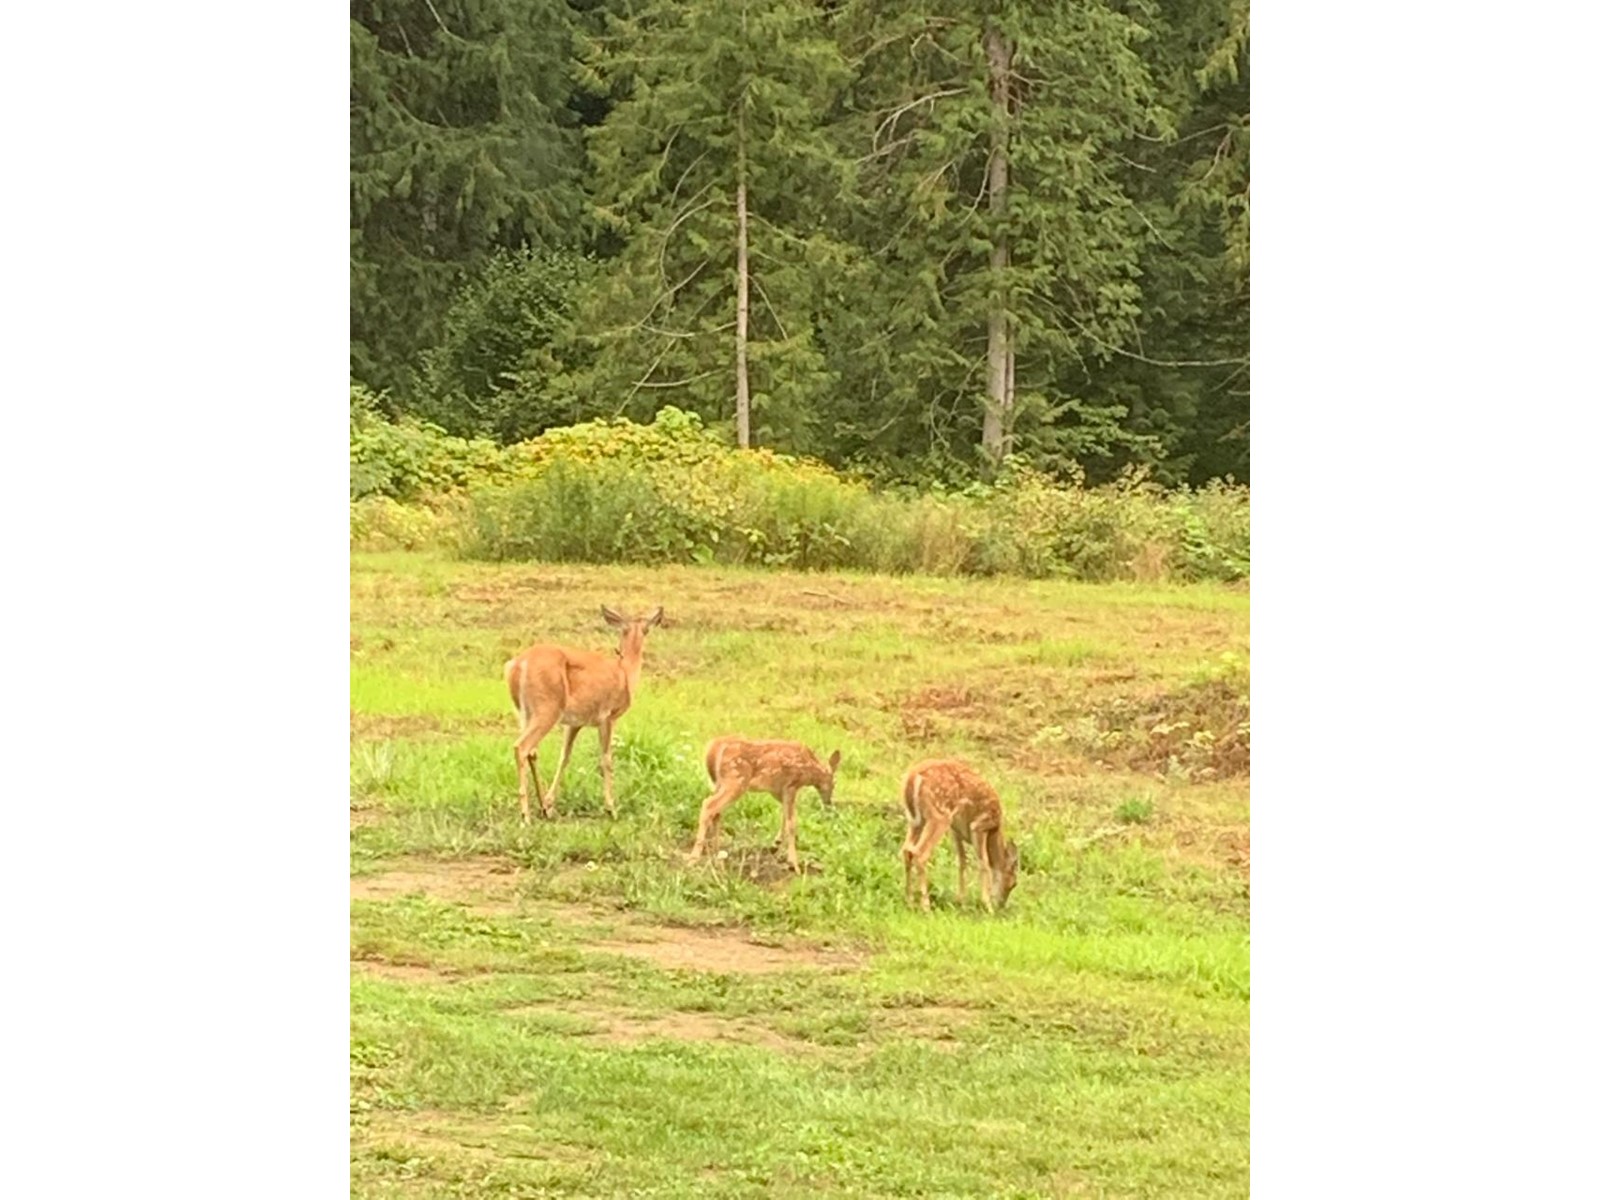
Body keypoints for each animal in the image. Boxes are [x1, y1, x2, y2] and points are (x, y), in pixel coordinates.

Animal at [508, 604, 665, 825]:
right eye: (647, 628)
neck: (625, 673)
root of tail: (519, 664)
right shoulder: (607, 716)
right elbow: (606, 760)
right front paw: (611, 809)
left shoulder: (574, 723)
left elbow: (564, 756)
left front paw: (549, 804)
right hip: (547, 708)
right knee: (521, 747)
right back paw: (525, 815)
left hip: (524, 712)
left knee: (532, 752)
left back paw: (540, 805)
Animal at [684, 732, 844, 876]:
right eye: (834, 783)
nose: (828, 802)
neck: (809, 770)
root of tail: (713, 749)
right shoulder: (791, 785)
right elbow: (792, 822)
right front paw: (794, 864)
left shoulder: (777, 790)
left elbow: (785, 814)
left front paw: (776, 844)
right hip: (736, 780)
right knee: (709, 805)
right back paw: (694, 858)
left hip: (719, 783)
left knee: (717, 812)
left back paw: (717, 854)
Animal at [902, 755, 1011, 915]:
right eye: (1013, 882)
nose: (1001, 905)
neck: (995, 828)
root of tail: (913, 777)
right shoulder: (978, 826)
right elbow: (984, 863)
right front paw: (987, 906)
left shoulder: (955, 830)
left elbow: (962, 861)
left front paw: (961, 902)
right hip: (939, 816)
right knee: (920, 853)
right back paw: (926, 906)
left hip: (916, 821)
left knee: (906, 850)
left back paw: (909, 901)